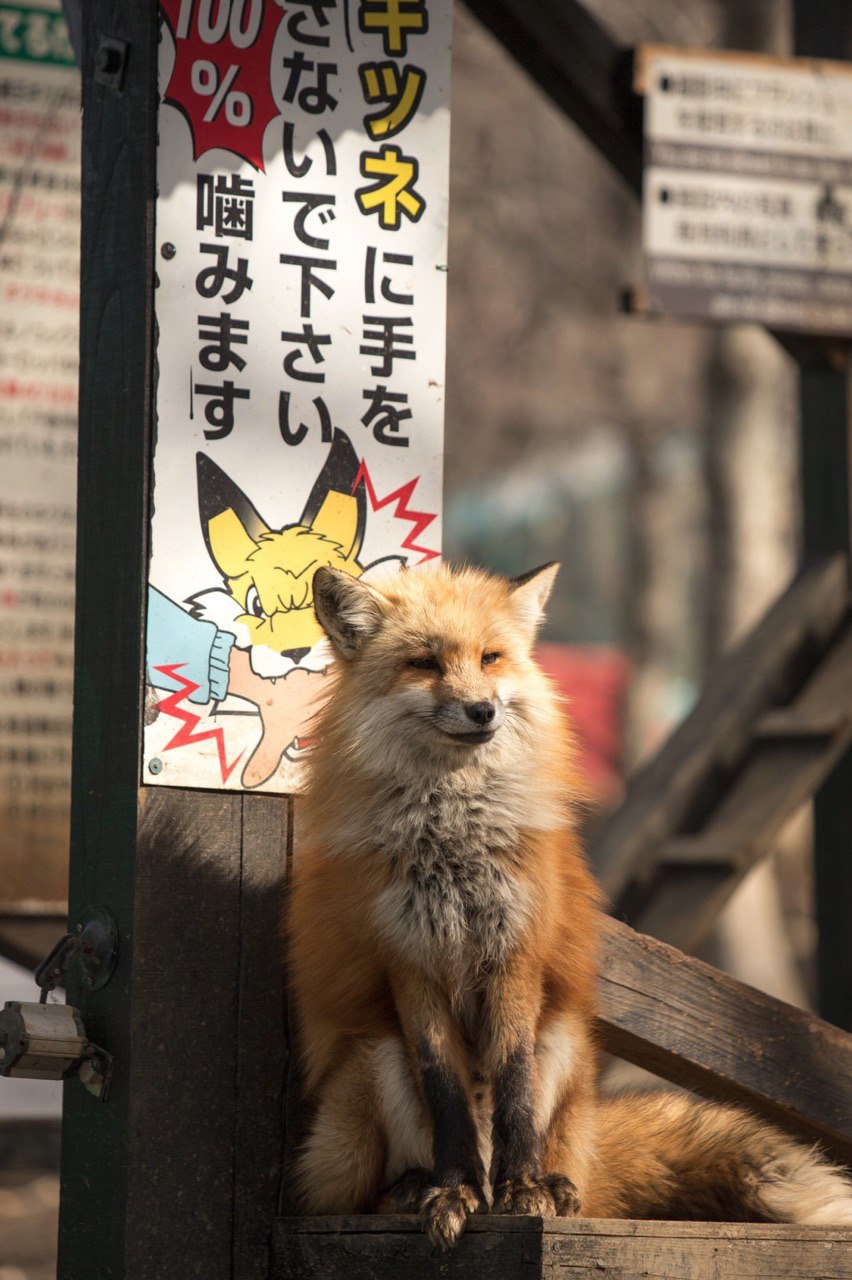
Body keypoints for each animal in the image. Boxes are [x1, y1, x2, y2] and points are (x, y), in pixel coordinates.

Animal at [286, 563, 849, 1249]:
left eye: (490, 658)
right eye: (424, 663)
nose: (482, 710)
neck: (455, 838)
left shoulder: (517, 952)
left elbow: (515, 1088)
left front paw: (524, 1188)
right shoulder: (409, 960)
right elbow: (446, 1092)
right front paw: (452, 1191)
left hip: (563, 1041)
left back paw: (540, 1186)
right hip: (375, 1063)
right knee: (340, 1199)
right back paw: (424, 1189)